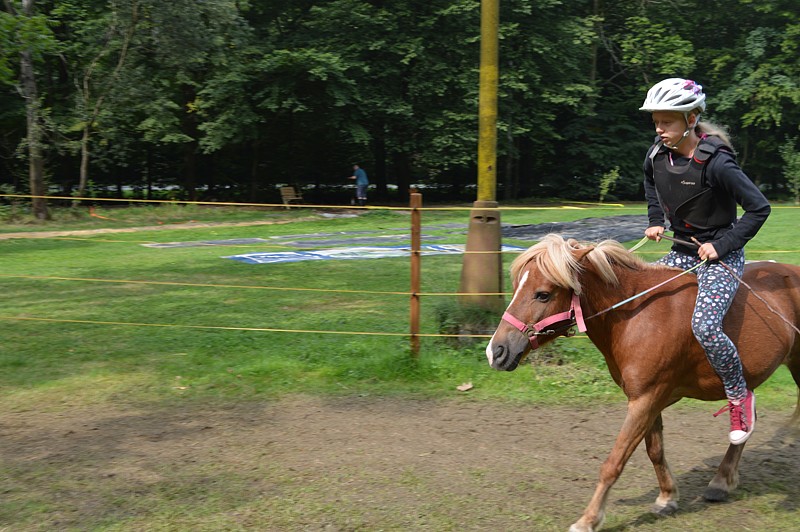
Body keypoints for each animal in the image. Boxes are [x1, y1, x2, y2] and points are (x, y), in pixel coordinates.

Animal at [484, 235, 800, 532]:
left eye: (543, 294)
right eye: (516, 287)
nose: (496, 351)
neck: (634, 315)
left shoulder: (645, 399)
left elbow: (614, 462)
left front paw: (588, 519)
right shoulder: (647, 400)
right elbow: (655, 451)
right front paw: (667, 497)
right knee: (745, 417)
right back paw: (721, 481)